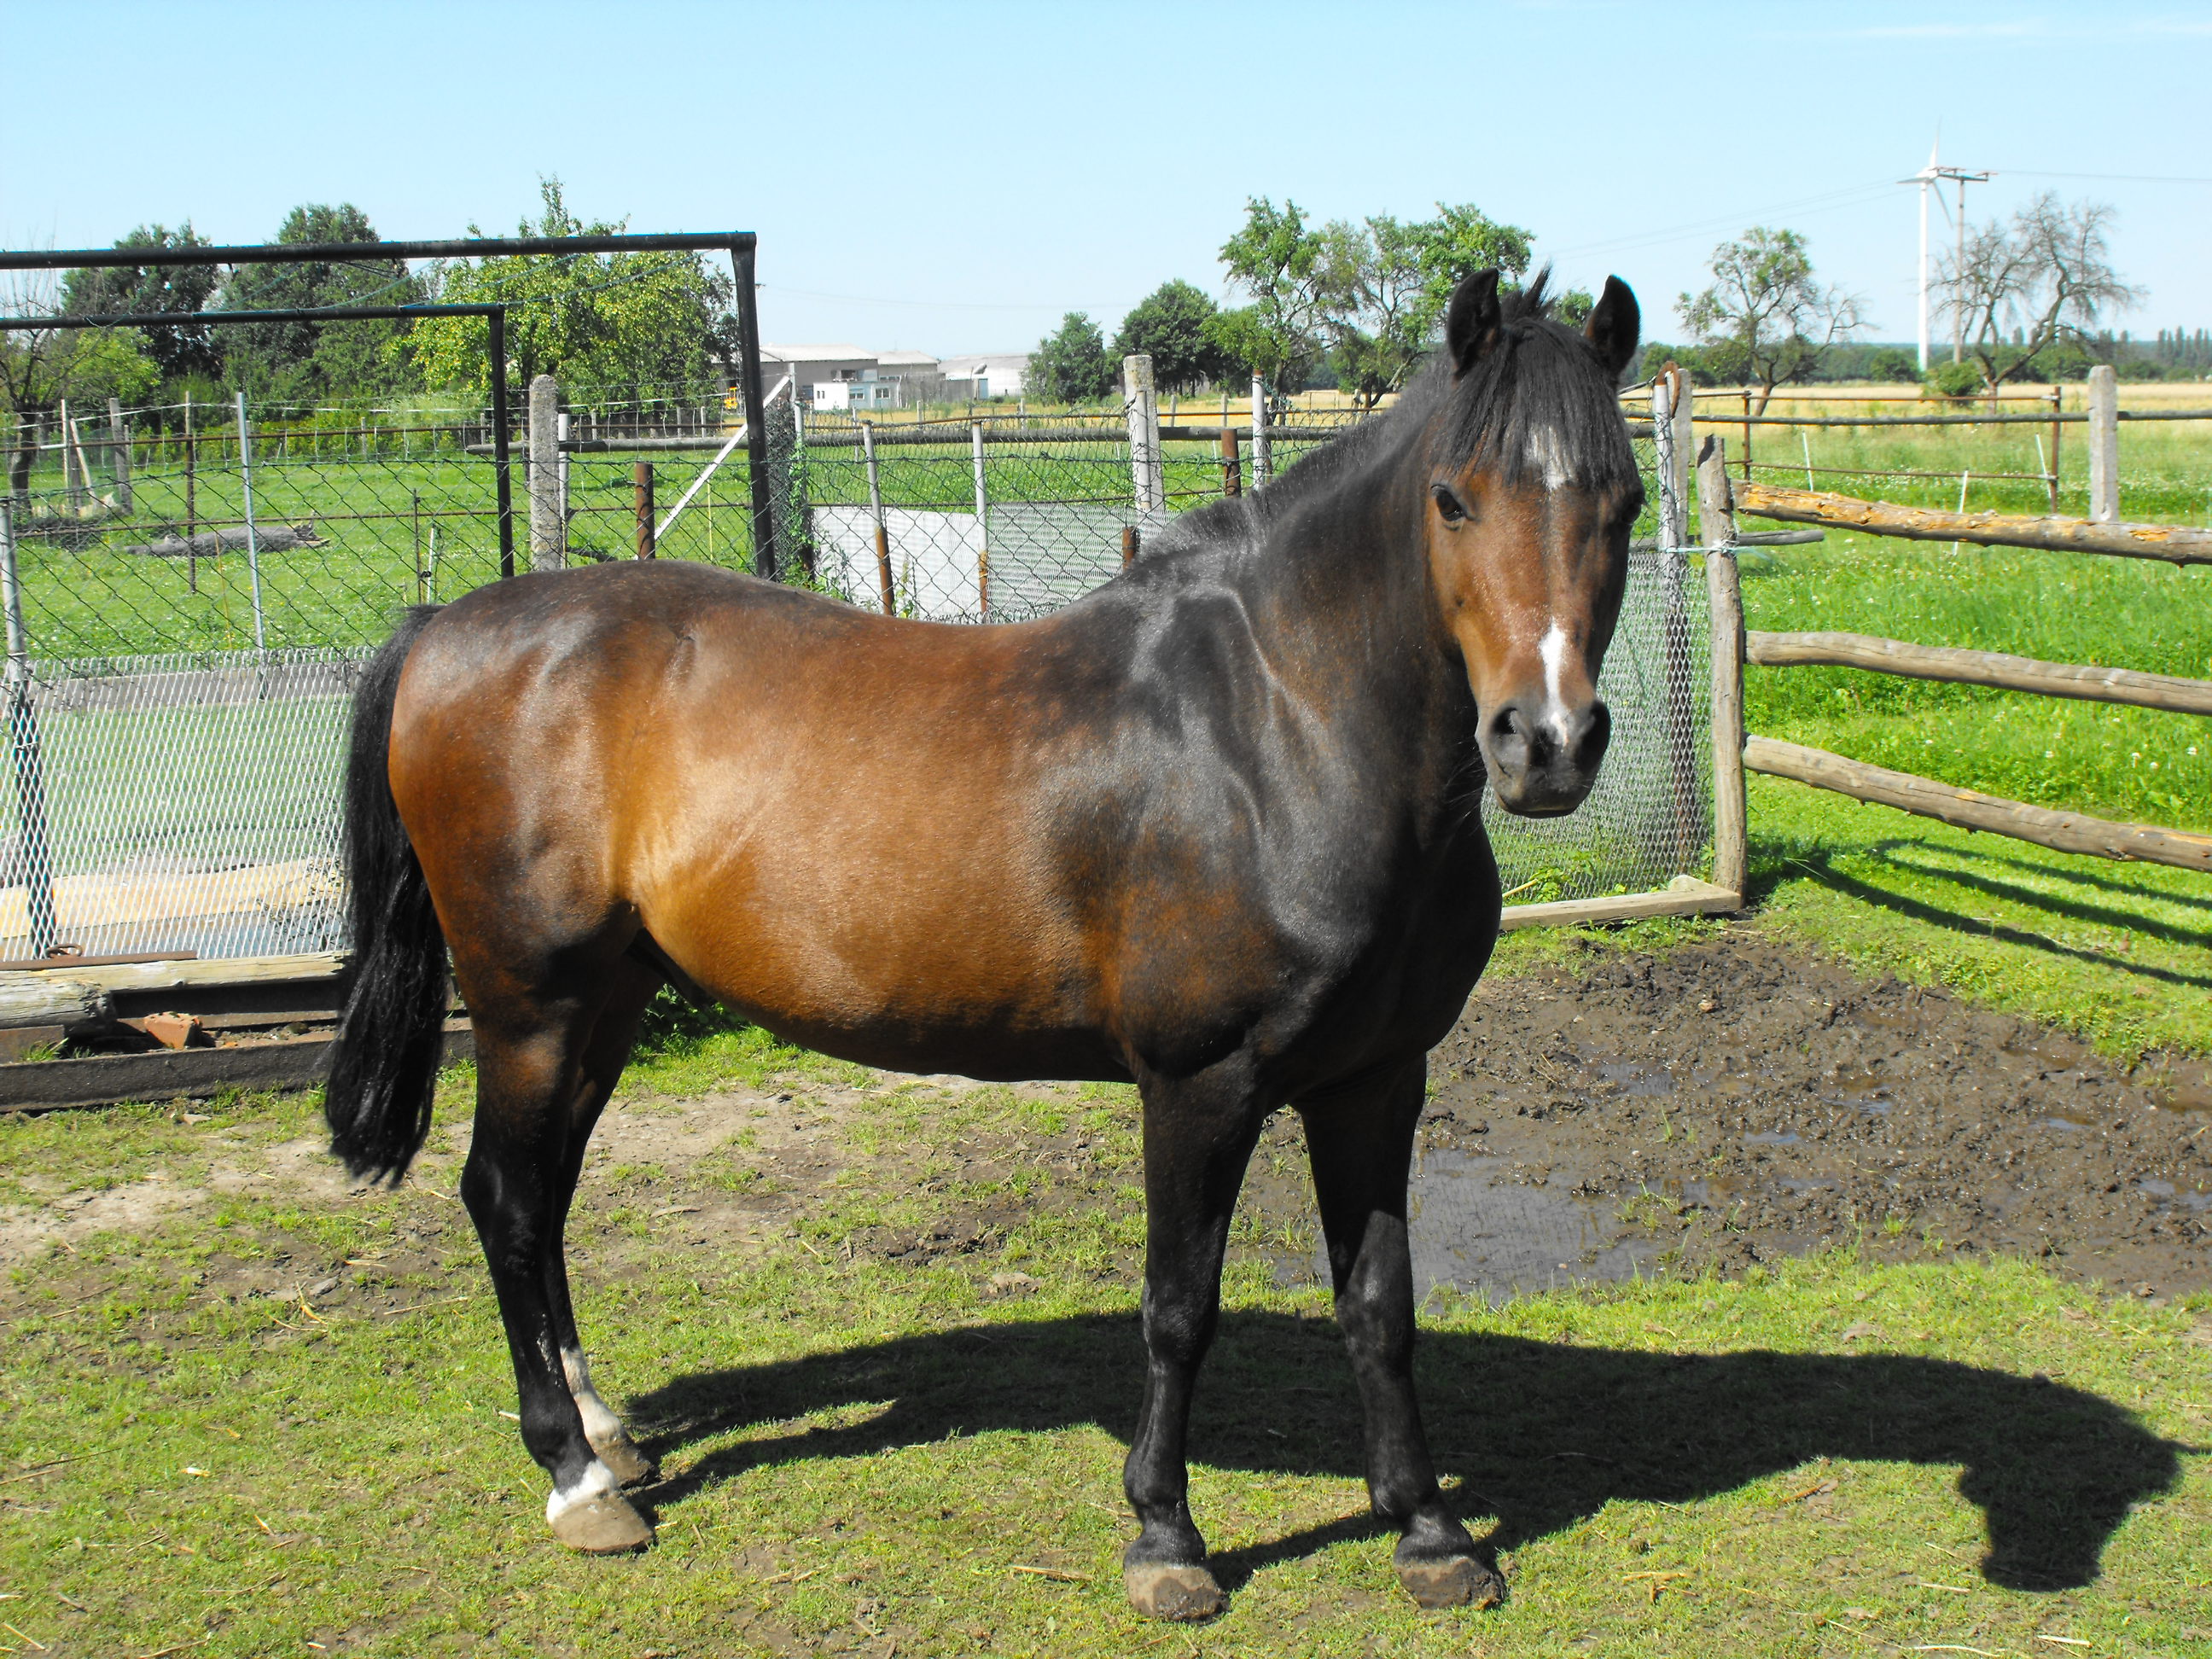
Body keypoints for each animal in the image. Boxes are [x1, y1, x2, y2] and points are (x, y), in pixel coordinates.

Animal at [323, 276, 1645, 1627]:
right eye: (1452, 498)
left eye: (1626, 500)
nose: (1546, 743)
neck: (1280, 726)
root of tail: (447, 628)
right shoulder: (1201, 1085)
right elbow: (1181, 1308)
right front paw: (1166, 1541)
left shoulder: (1377, 1081)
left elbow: (1380, 1304)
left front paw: (1429, 1531)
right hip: (529, 1008)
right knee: (504, 1197)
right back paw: (577, 1480)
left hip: (609, 1004)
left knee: (546, 1198)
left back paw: (605, 1433)